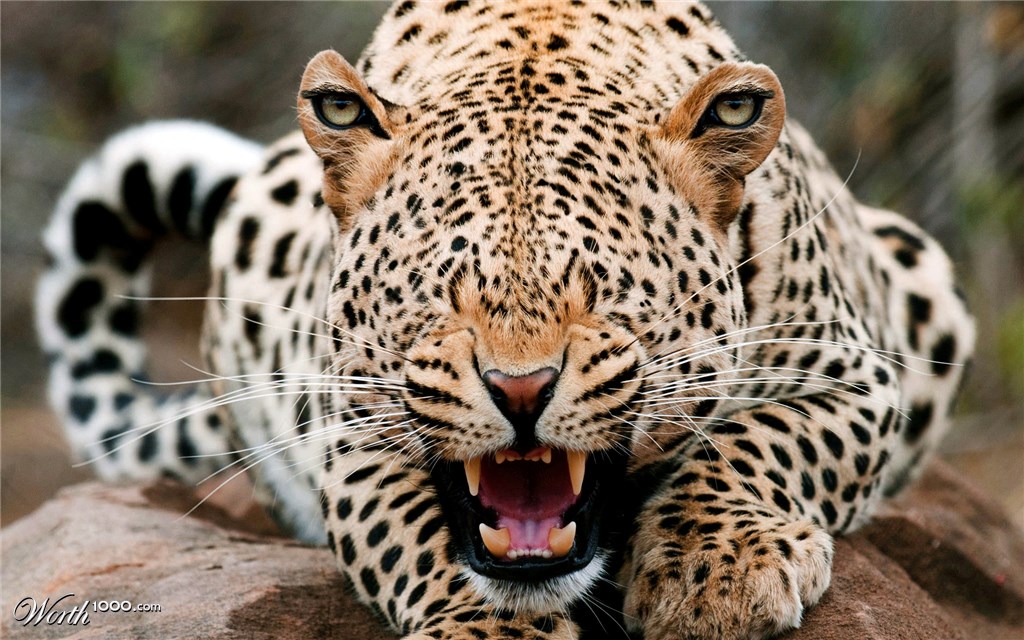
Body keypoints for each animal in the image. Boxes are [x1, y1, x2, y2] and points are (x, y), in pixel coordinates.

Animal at [36, 1, 975, 639]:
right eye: (437, 296)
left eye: (601, 293)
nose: (520, 392)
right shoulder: (352, 432)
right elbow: (416, 533)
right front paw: (489, 629)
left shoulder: (857, 375)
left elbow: (762, 441)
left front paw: (716, 573)